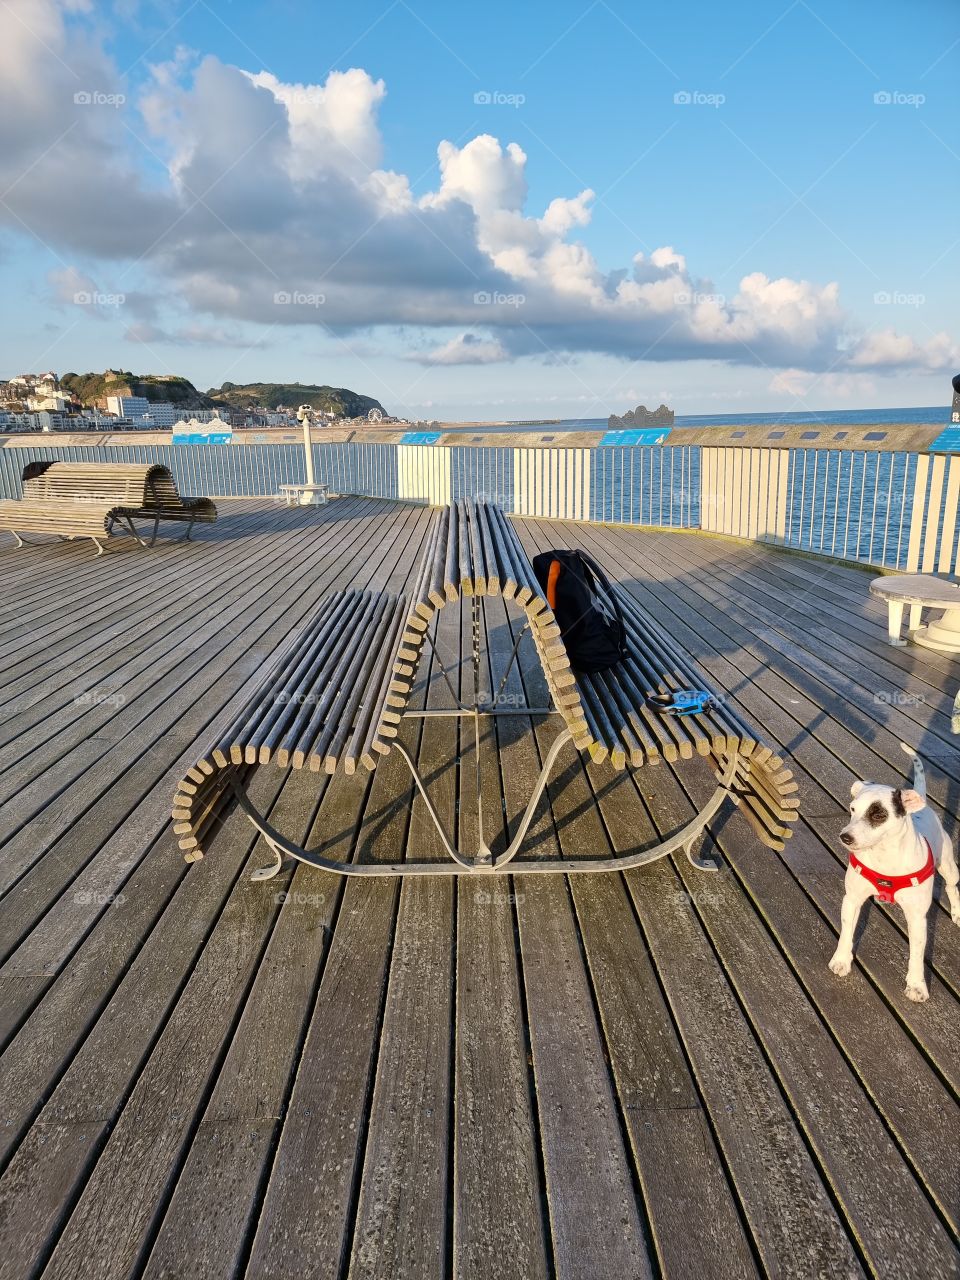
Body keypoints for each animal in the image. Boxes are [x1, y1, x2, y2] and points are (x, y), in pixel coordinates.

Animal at [829, 742, 957, 998]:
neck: (884, 855)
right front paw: (841, 960)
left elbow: (917, 953)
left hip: (948, 865)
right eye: (852, 809)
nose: (845, 837)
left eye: (879, 815)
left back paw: (957, 912)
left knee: (952, 886)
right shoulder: (852, 900)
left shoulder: (917, 917)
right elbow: (847, 932)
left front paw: (917, 985)